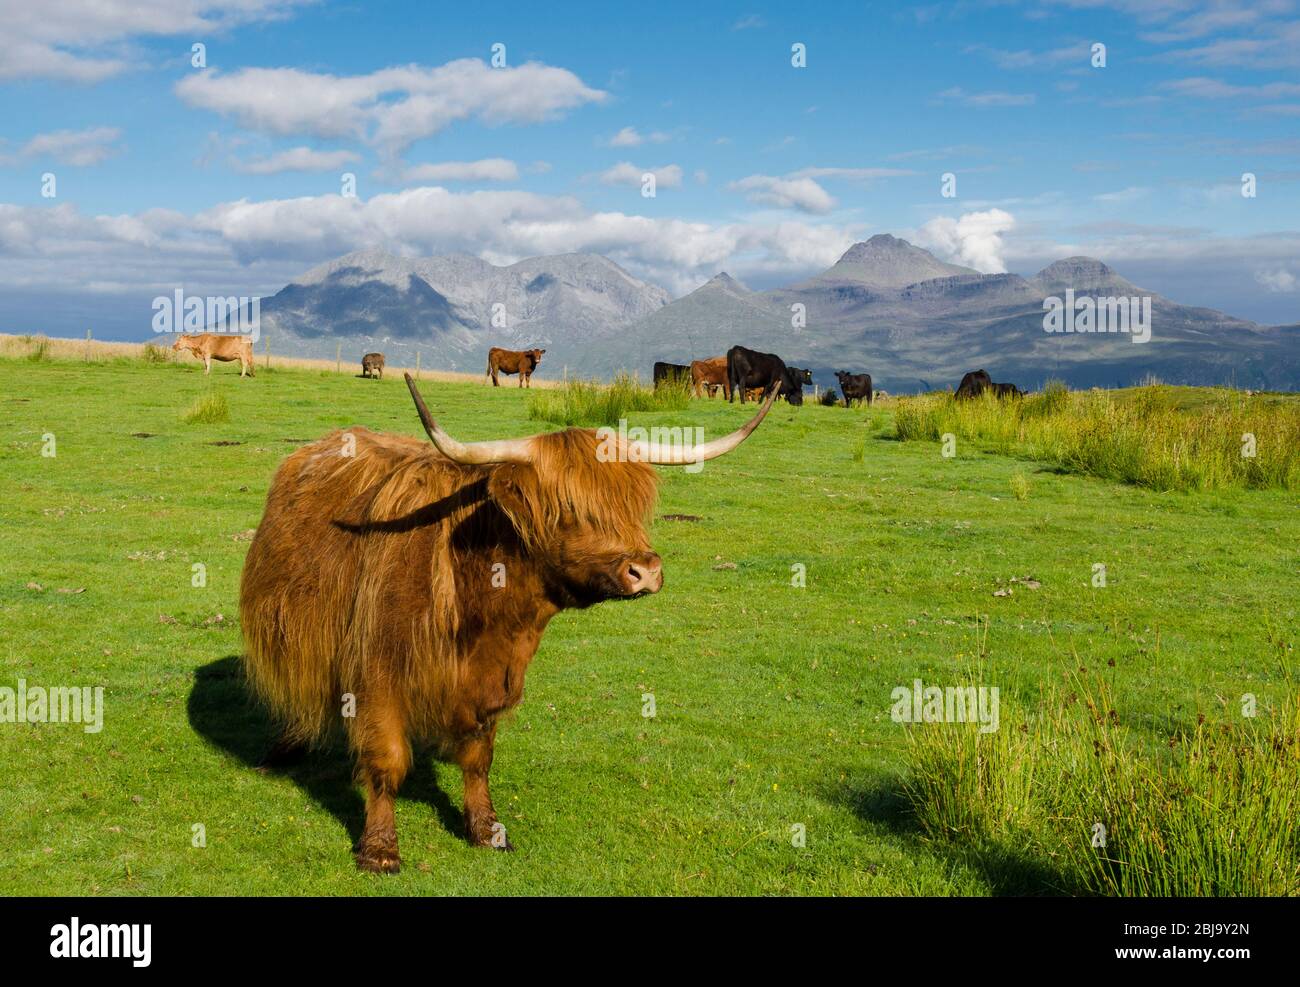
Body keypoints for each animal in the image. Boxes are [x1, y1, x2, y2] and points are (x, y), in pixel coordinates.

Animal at [239, 377, 774, 873]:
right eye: (568, 508)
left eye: (629, 505)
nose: (646, 571)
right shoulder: (376, 676)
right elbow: (387, 761)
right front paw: (380, 851)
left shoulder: (494, 678)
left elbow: (479, 759)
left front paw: (485, 830)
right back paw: (284, 747)